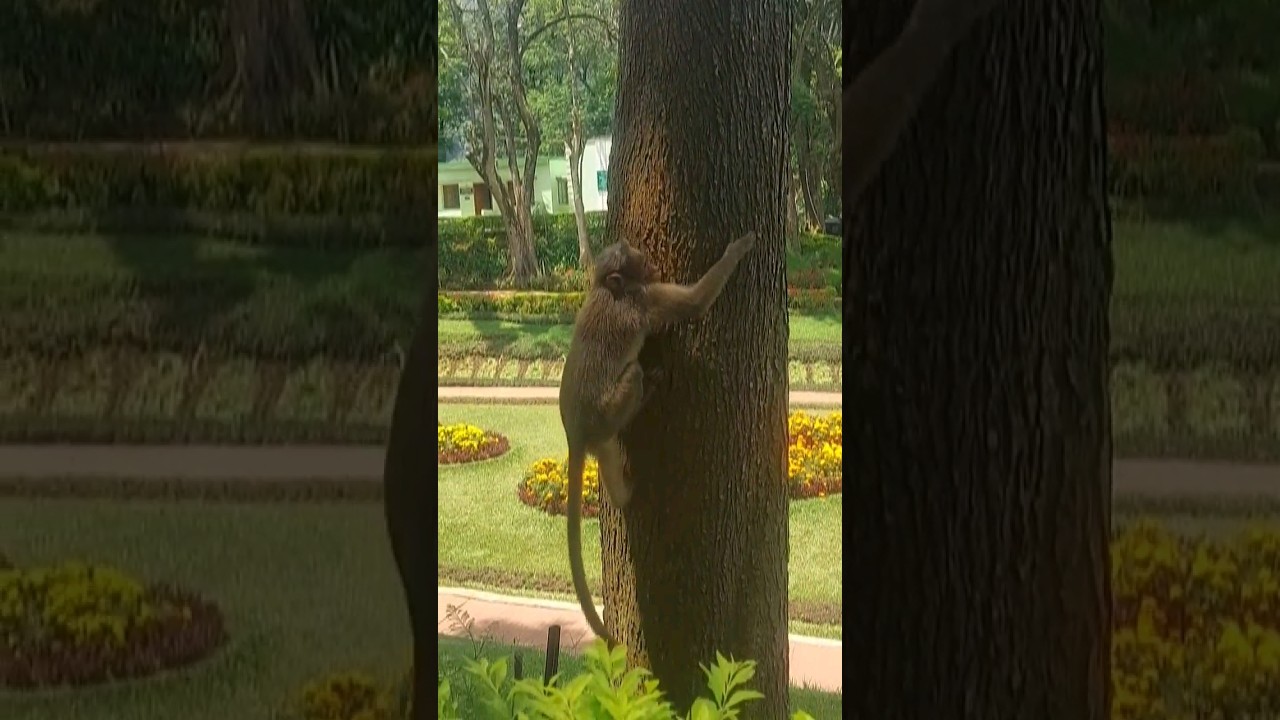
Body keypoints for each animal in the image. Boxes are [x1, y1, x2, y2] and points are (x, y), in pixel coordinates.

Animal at [558, 231, 757, 646]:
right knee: (632, 374)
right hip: (608, 411)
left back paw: (624, 494)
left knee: (607, 454)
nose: (650, 263)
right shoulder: (645, 299)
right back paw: (646, 392)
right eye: (636, 260)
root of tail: (575, 431)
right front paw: (738, 248)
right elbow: (695, 303)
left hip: (601, 429)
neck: (608, 289)